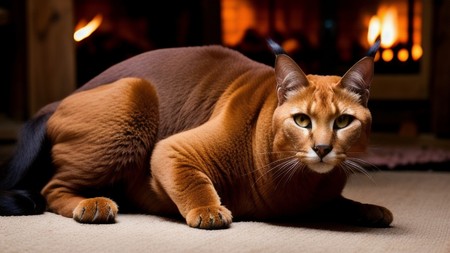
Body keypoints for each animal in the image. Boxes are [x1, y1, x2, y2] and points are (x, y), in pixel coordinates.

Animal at [0, 40, 392, 229]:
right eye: (302, 121)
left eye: (343, 122)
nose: (323, 148)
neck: (302, 182)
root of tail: (57, 101)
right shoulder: (172, 151)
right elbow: (194, 181)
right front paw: (209, 209)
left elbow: (339, 201)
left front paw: (366, 209)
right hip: (135, 94)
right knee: (51, 189)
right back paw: (93, 205)